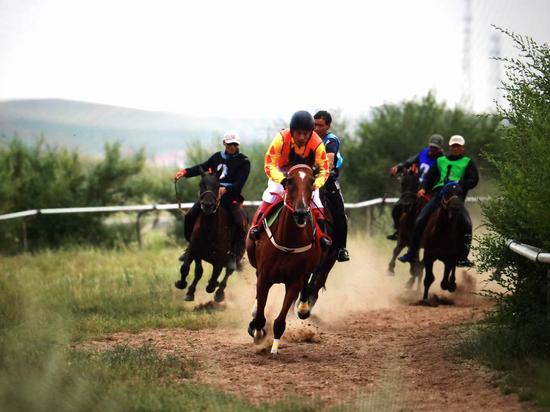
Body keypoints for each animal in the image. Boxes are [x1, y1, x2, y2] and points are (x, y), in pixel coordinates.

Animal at [174, 171, 240, 302]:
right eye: (201, 184)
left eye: (218, 185)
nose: (208, 205)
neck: (209, 231)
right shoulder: (195, 251)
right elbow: (190, 269)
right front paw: (184, 287)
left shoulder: (220, 259)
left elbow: (215, 275)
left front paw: (212, 286)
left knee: (228, 271)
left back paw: (219, 293)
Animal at [246, 164, 324, 354]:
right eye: (289, 181)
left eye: (312, 181)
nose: (301, 213)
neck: (288, 241)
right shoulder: (264, 277)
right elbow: (260, 315)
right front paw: (257, 331)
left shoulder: (294, 282)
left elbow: (280, 321)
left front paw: (274, 348)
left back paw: (303, 307)